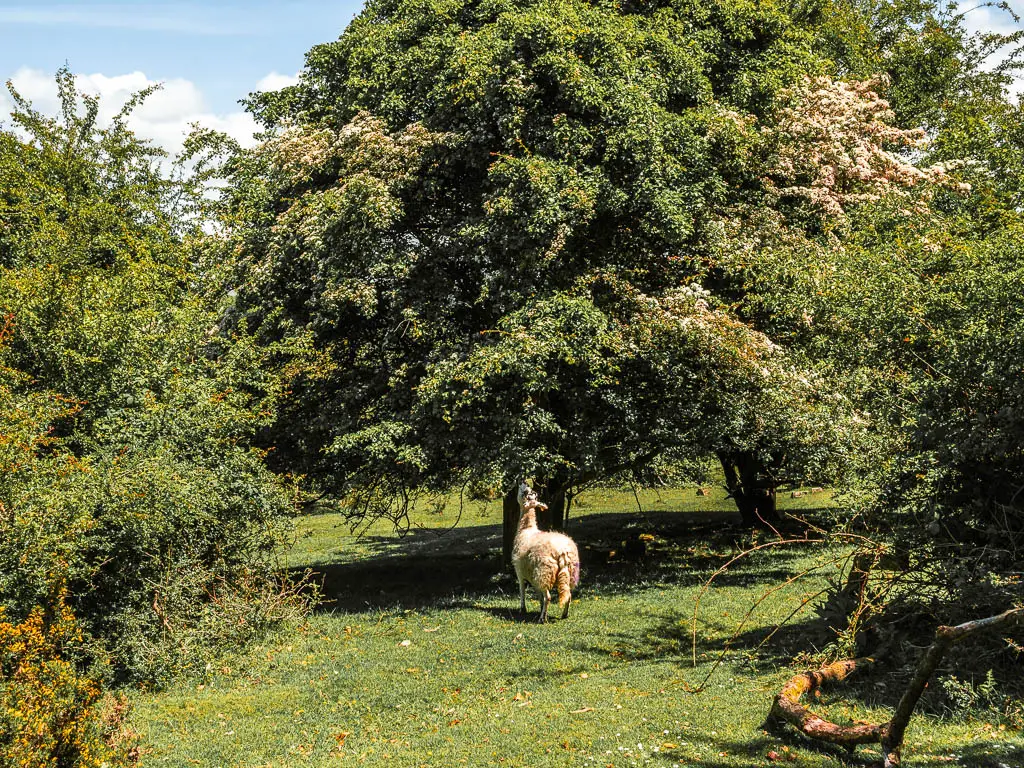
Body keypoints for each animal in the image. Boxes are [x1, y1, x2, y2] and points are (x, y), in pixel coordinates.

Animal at [509, 487, 581, 626]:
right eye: (530, 493)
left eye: (526, 493)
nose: (522, 482)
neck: (526, 529)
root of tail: (562, 551)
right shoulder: (535, 578)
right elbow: (539, 597)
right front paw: (540, 609)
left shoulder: (520, 572)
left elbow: (522, 590)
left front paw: (523, 609)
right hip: (566, 573)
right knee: (568, 595)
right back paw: (564, 614)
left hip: (544, 571)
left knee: (548, 597)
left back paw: (542, 619)